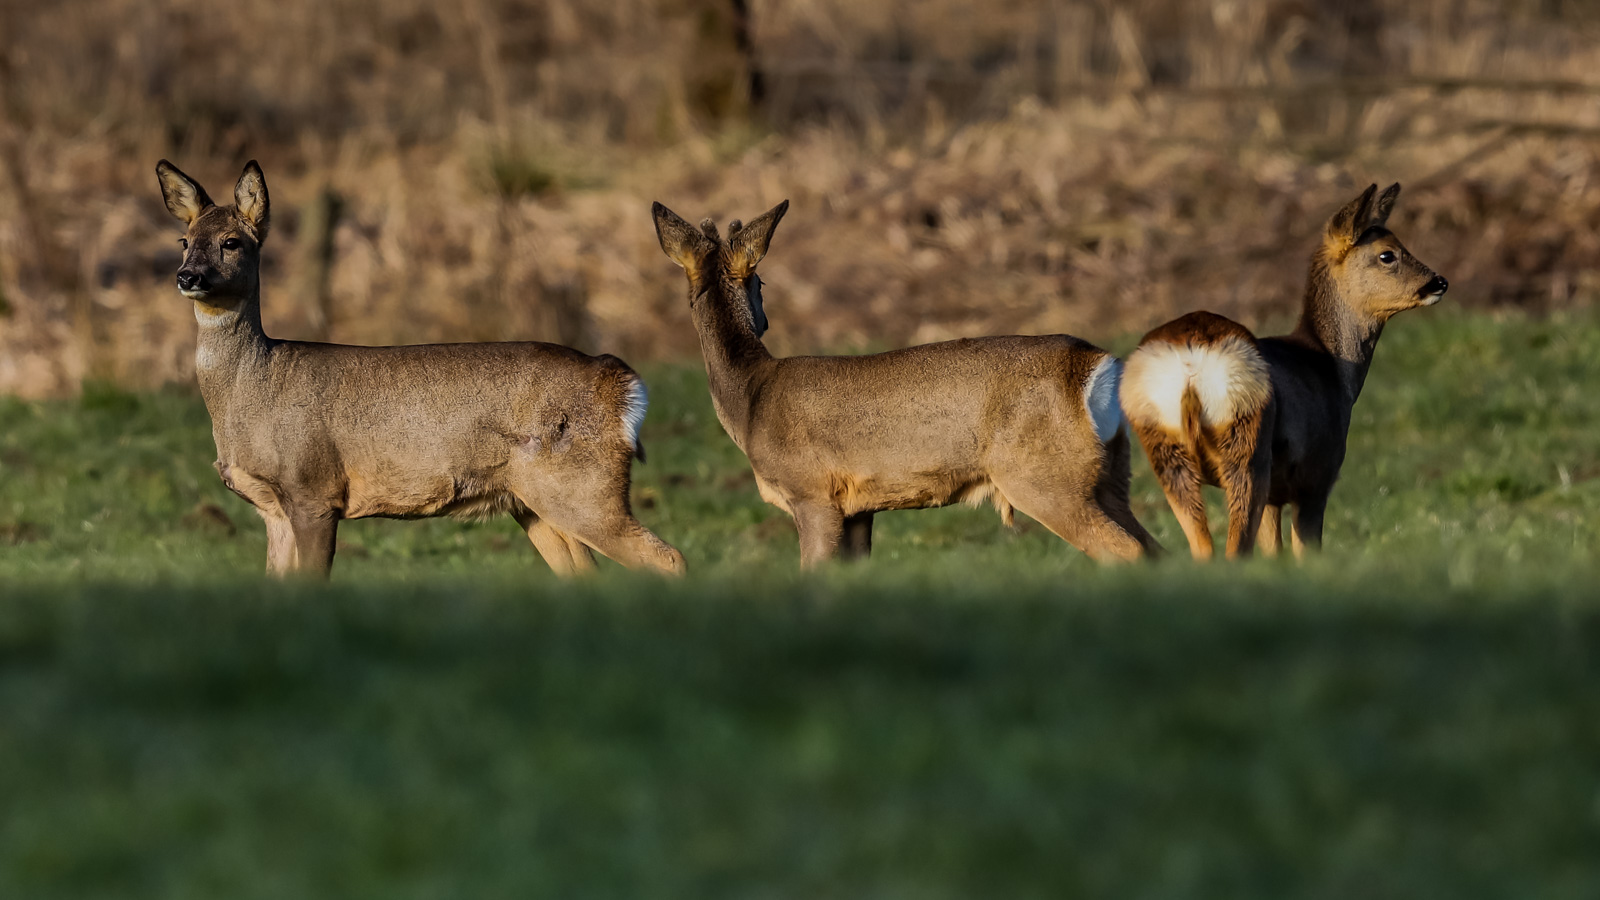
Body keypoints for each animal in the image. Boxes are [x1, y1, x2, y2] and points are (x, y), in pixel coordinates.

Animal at [150, 159, 675, 573]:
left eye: (232, 242)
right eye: (184, 240)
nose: (187, 276)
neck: (253, 390)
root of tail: (621, 383)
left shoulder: (314, 490)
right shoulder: (272, 510)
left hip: (588, 488)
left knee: (668, 558)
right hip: (535, 502)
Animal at [649, 199, 1164, 566]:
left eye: (763, 285)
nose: (766, 318)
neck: (750, 395)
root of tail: (1098, 364)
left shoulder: (812, 492)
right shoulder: (859, 509)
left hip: (1044, 475)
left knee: (1128, 551)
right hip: (1109, 473)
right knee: (1156, 547)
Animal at [1113, 184, 1452, 554]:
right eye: (1387, 255)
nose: (1439, 281)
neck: (1333, 370)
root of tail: (1192, 360)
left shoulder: (1276, 496)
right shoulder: (1317, 476)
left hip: (1165, 449)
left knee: (1203, 548)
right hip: (1247, 443)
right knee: (1234, 548)